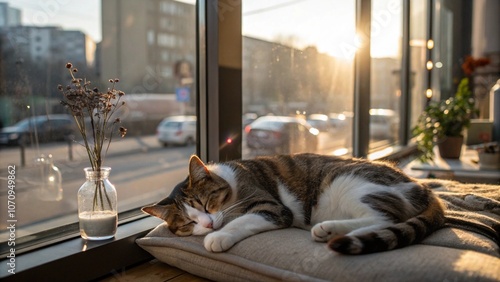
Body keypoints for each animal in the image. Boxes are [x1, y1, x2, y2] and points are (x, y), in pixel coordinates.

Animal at [142, 153, 446, 254]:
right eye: (188, 222)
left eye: (206, 204)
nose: (206, 224)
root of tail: (421, 186)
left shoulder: (273, 207)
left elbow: (243, 220)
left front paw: (218, 237)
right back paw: (330, 231)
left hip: (346, 179)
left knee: (388, 217)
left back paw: (331, 232)